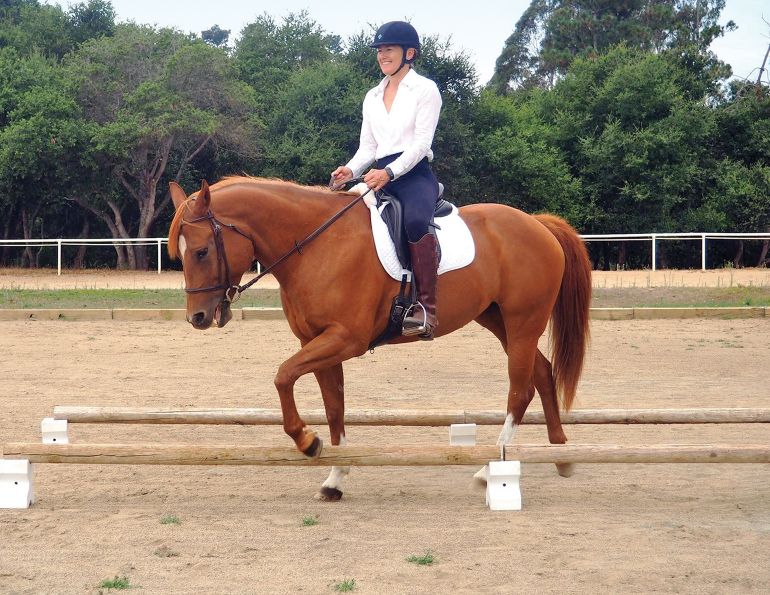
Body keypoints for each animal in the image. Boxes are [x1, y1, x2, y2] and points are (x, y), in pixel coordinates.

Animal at [167, 177, 591, 501]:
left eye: (202, 251)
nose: (197, 318)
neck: (316, 245)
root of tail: (538, 224)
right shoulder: (318, 341)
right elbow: (334, 407)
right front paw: (334, 479)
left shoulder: (344, 339)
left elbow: (283, 375)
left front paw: (307, 441)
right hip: (498, 320)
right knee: (542, 372)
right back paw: (562, 454)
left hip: (523, 321)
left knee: (520, 390)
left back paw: (492, 472)